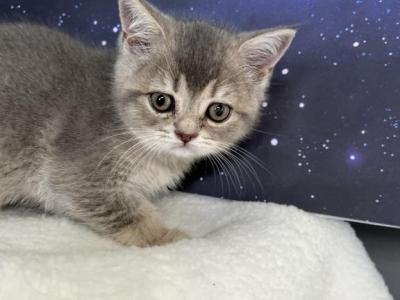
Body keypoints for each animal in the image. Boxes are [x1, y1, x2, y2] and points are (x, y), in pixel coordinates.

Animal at [0, 0, 294, 246]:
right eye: (161, 101)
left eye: (218, 111)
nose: (185, 134)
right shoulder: (76, 175)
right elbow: (129, 214)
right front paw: (166, 237)